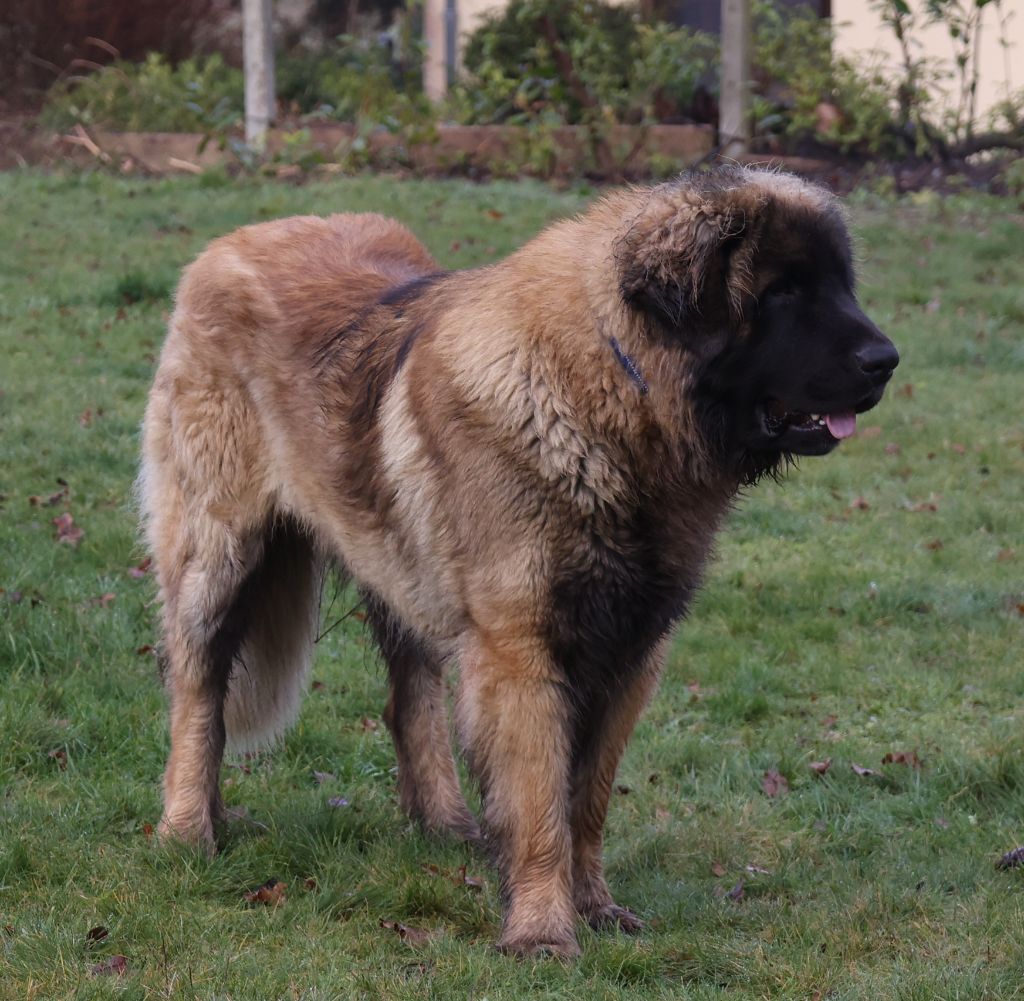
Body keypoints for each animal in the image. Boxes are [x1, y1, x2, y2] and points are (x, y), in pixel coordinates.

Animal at [142, 167, 897, 958]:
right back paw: (188, 828)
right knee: (198, 690)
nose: (887, 362)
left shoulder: (632, 650)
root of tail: (234, 240)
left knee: (408, 697)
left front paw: (594, 906)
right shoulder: (519, 650)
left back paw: (442, 825)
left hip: (395, 555)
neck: (604, 399)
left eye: (842, 286)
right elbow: (540, 804)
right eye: (782, 292)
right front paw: (541, 931)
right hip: (219, 556)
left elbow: (586, 800)